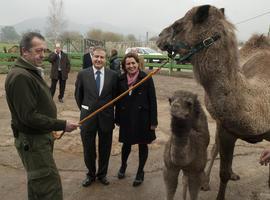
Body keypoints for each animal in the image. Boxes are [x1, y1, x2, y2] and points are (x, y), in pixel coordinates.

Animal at [157, 4, 270, 200]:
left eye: (178, 25)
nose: (159, 36)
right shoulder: (226, 128)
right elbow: (222, 170)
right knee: (214, 148)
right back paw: (205, 182)